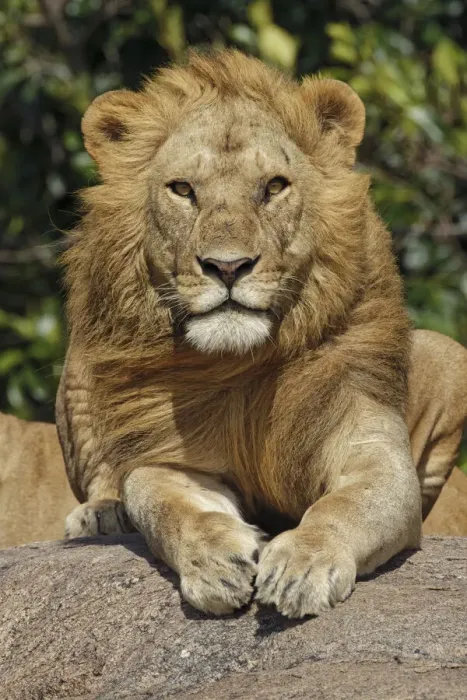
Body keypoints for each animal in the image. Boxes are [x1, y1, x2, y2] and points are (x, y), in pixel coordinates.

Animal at [56, 50, 467, 618]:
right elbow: (164, 505)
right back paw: (100, 515)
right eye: (183, 189)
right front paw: (214, 561)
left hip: (449, 355)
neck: (241, 364)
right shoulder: (172, 461)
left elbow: (343, 506)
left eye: (273, 186)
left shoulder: (373, 450)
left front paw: (304, 565)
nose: (227, 266)